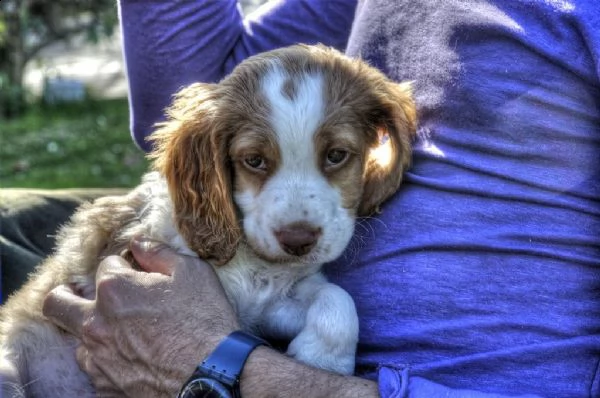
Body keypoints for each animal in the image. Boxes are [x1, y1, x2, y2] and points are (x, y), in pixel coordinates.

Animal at [0, 45, 418, 396]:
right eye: (254, 160)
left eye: (336, 155)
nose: (298, 240)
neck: (250, 260)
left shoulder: (265, 307)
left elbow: (337, 298)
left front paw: (323, 359)